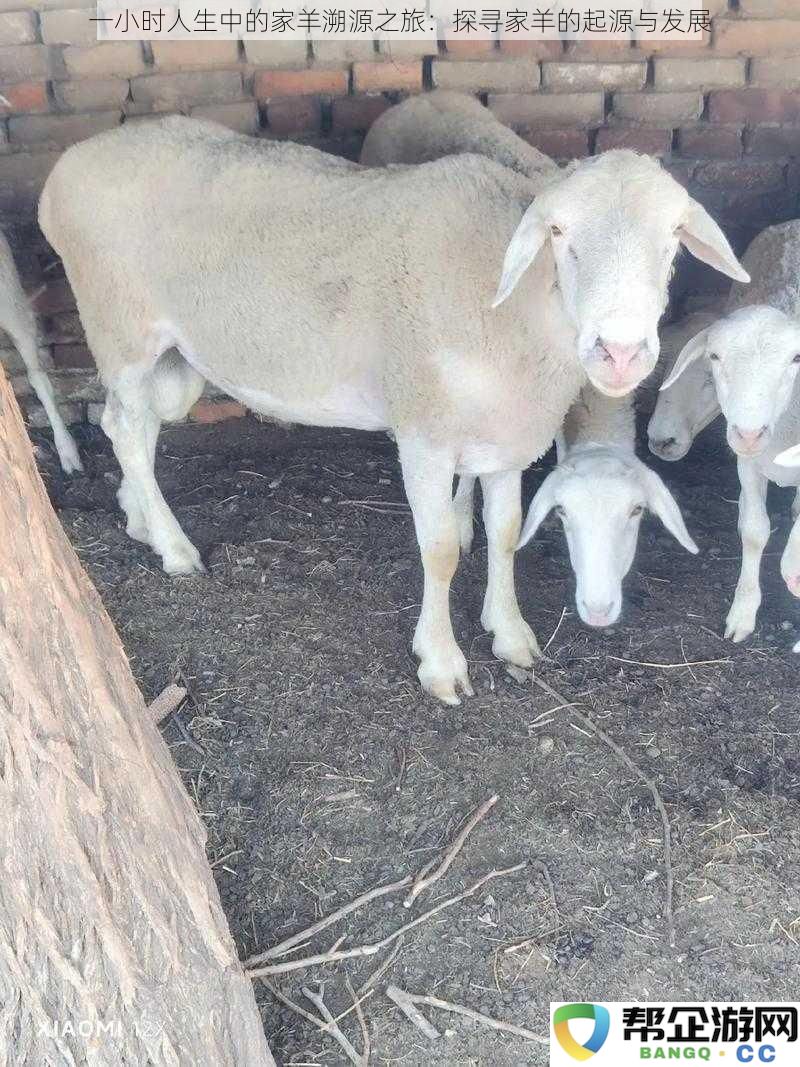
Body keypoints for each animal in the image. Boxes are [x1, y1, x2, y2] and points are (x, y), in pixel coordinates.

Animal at [39, 116, 750, 704]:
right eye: (558, 232)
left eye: (675, 237)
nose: (620, 352)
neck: (513, 308)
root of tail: (66, 167)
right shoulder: (425, 432)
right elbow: (439, 550)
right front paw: (442, 664)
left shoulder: (508, 433)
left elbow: (504, 532)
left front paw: (510, 633)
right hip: (119, 328)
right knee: (123, 429)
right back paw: (175, 548)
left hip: (174, 361)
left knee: (133, 426)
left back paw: (139, 518)